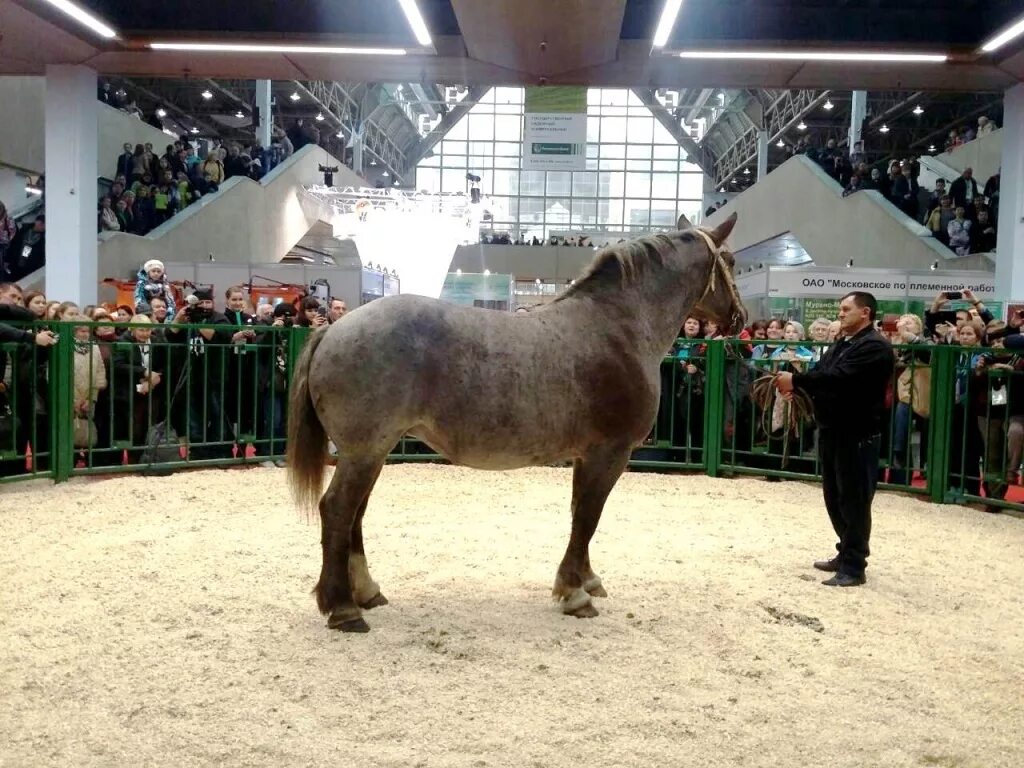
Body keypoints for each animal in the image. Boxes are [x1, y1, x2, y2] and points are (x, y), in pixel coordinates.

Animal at [288, 210, 745, 630]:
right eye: (732, 260)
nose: (738, 318)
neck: (619, 328)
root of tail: (333, 330)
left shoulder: (586, 455)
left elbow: (580, 514)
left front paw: (586, 580)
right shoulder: (610, 452)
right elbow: (589, 517)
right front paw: (575, 594)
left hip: (372, 451)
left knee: (355, 515)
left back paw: (366, 593)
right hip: (364, 450)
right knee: (338, 510)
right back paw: (343, 608)